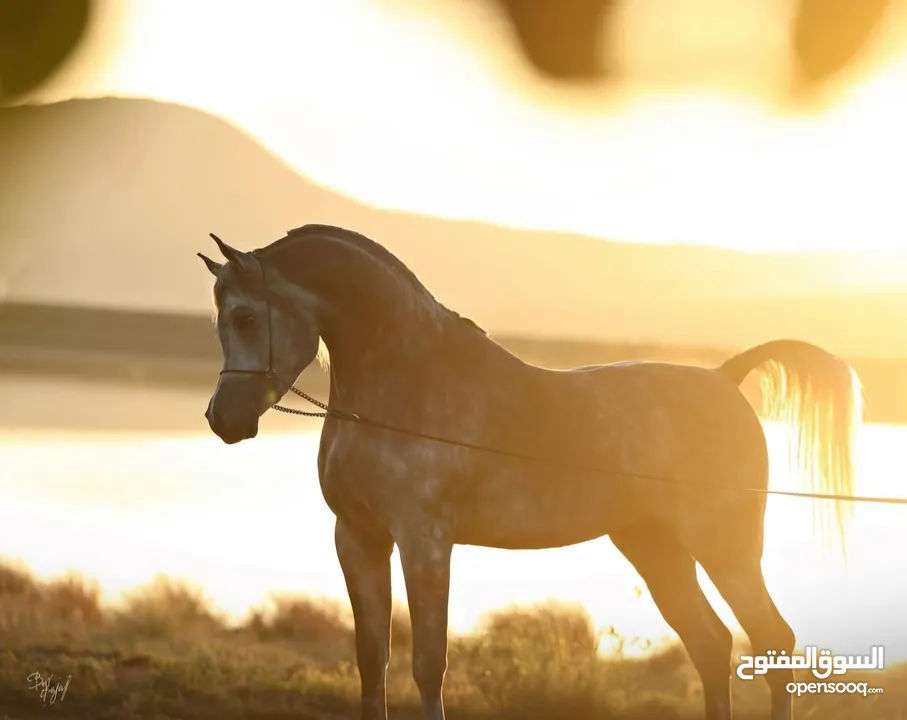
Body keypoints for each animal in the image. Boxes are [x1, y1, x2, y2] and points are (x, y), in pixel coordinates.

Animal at [199, 222, 860, 716]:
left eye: (247, 318)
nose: (222, 420)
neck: (402, 385)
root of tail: (725, 378)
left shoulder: (424, 541)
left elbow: (429, 664)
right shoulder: (358, 537)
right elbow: (372, 663)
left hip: (724, 548)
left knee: (772, 641)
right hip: (656, 548)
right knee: (712, 644)